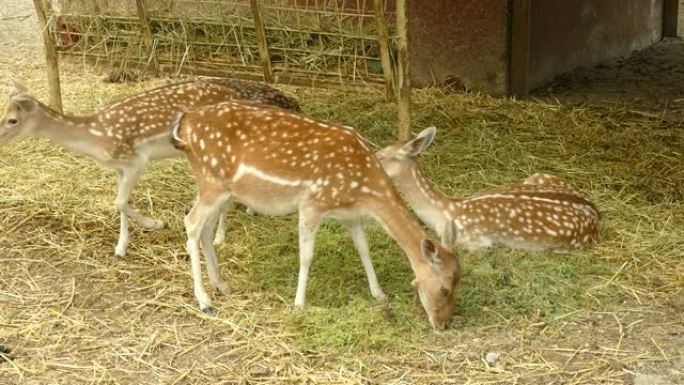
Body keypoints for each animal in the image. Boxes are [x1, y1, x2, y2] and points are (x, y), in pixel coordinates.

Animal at [0, 77, 300, 258]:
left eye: (13, 120)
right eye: (3, 112)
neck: (95, 136)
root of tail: (233, 91)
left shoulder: (135, 160)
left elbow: (120, 202)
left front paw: (156, 223)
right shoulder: (120, 167)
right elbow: (118, 203)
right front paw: (121, 247)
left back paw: (219, 237)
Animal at [172, 101, 460, 328]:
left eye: (459, 282)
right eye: (444, 289)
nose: (443, 323)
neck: (364, 190)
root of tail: (184, 123)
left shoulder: (350, 214)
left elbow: (364, 249)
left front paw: (379, 294)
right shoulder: (312, 202)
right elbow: (307, 256)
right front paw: (299, 303)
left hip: (218, 189)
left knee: (205, 230)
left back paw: (222, 285)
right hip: (212, 182)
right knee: (191, 223)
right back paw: (205, 301)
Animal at [374, 126, 600, 250]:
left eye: (381, 156)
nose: (370, 162)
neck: (445, 211)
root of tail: (595, 212)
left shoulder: (473, 240)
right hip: (538, 175)